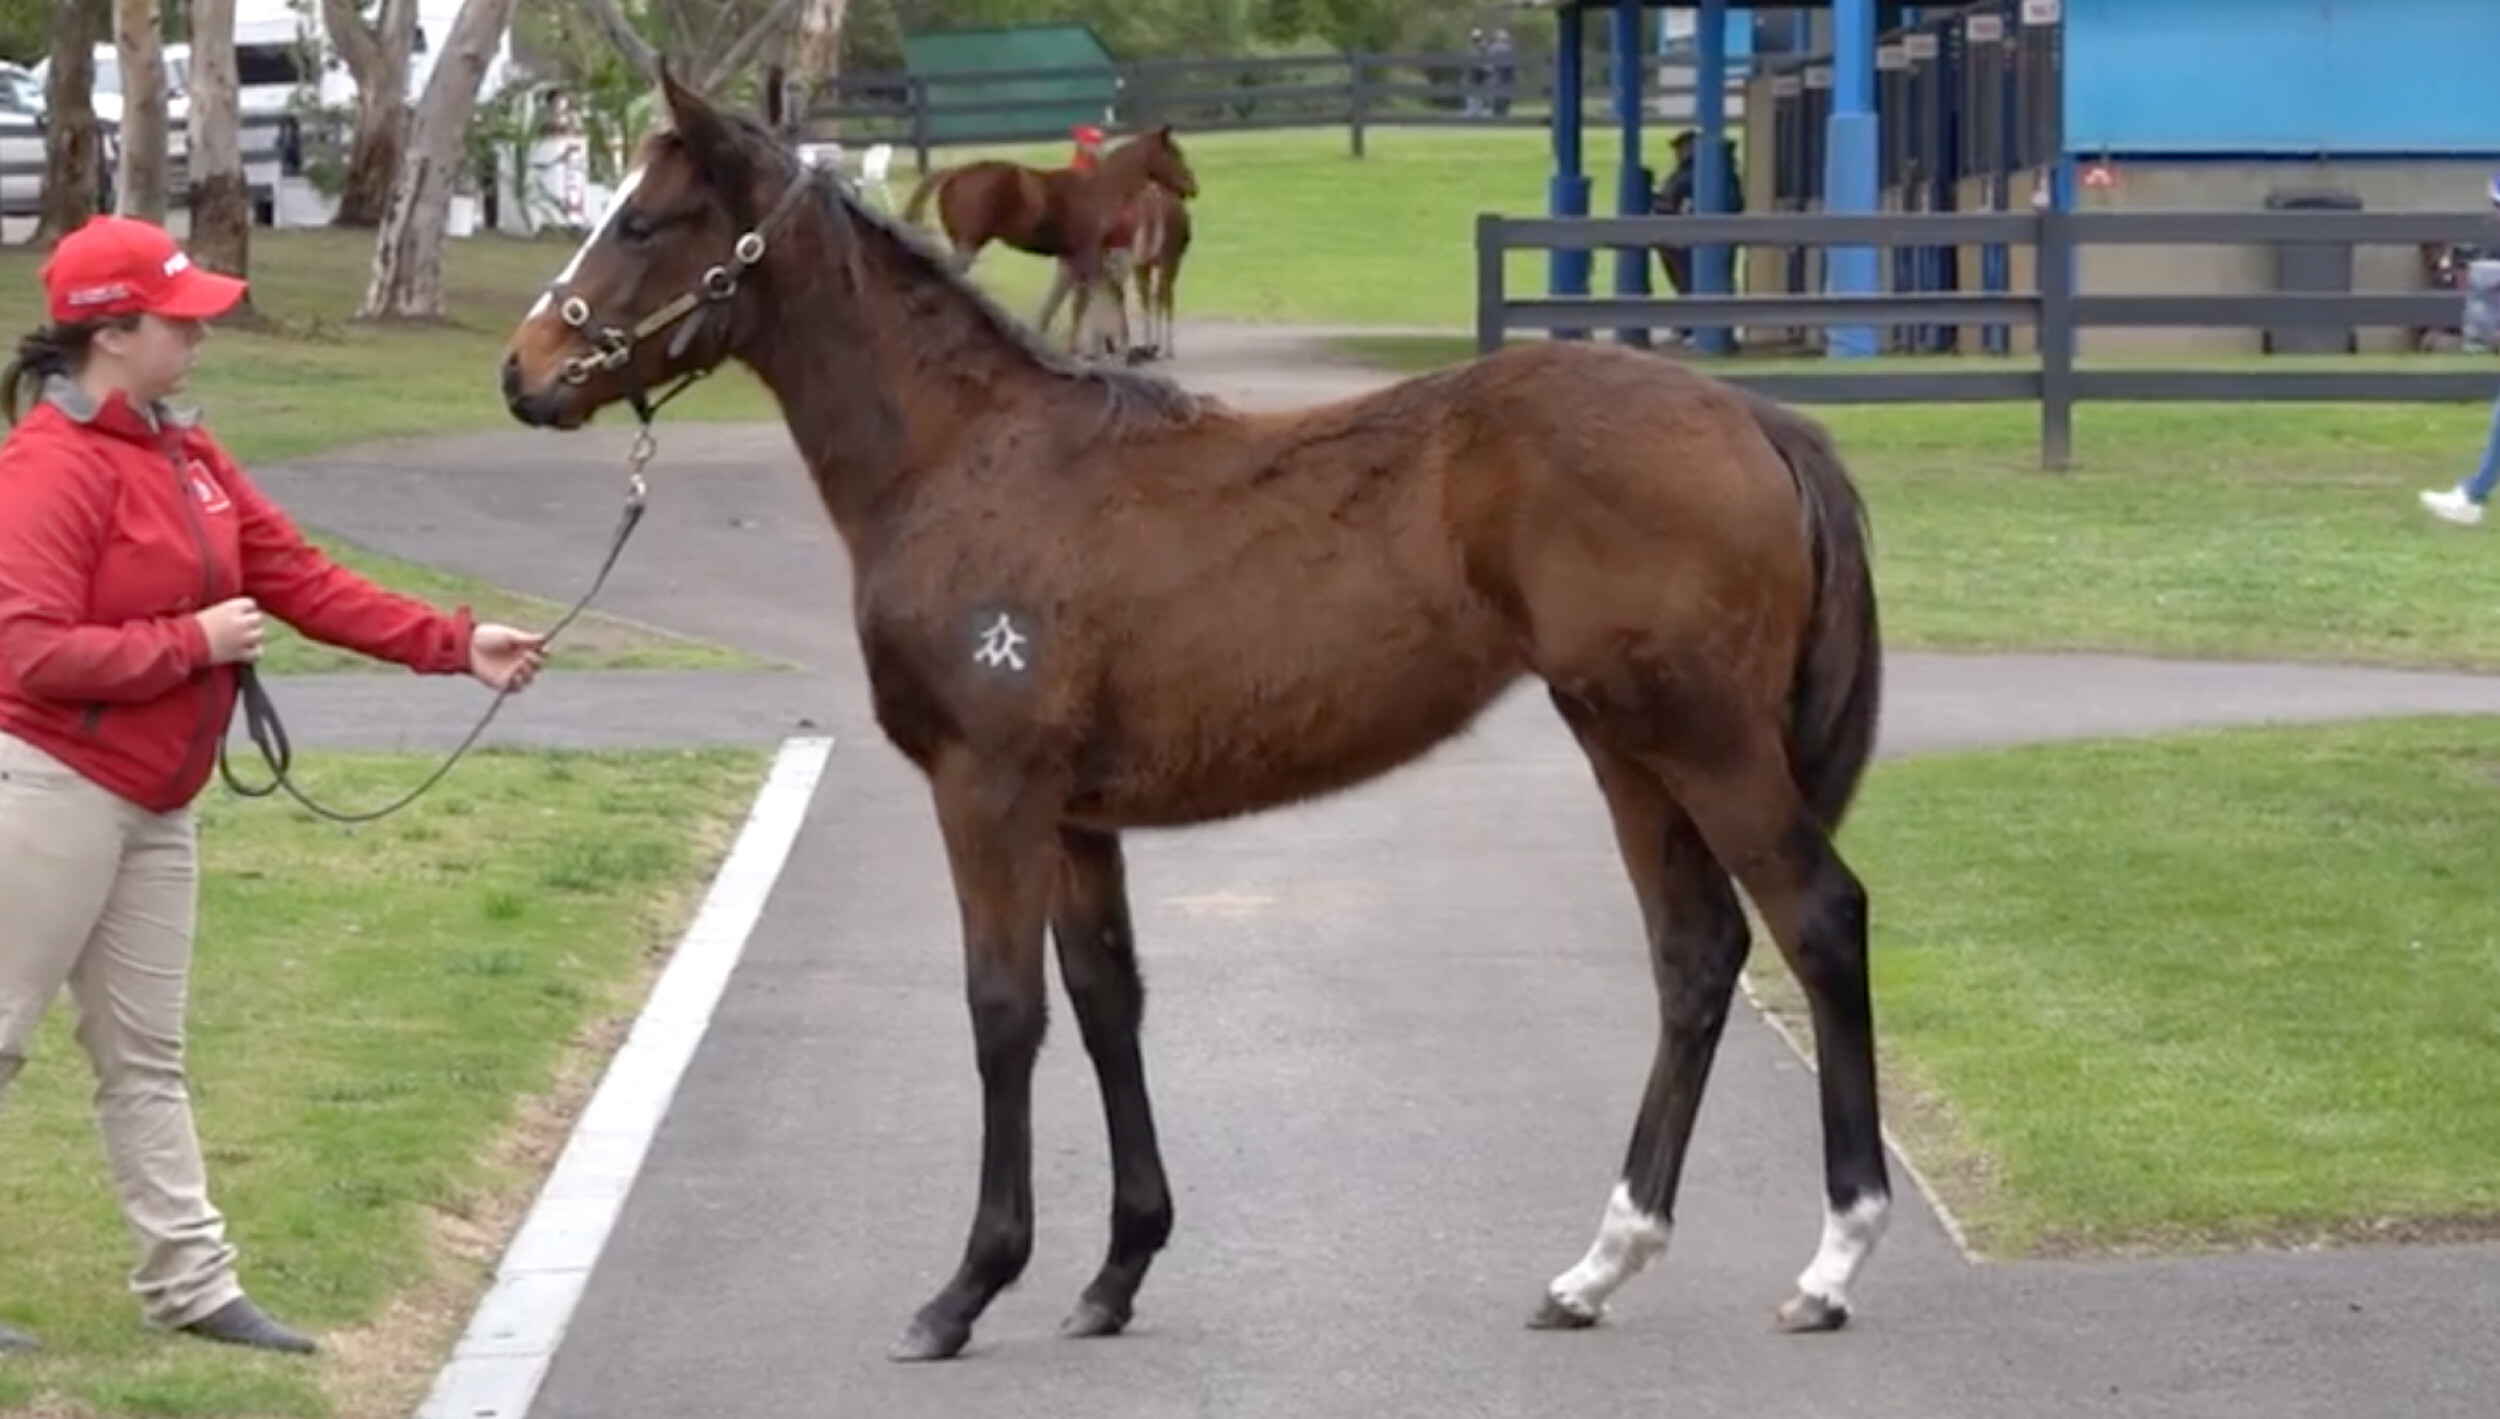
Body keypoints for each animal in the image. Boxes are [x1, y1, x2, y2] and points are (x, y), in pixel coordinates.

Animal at [500, 64, 1892, 1365]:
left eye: (644, 220)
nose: (524, 374)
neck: (966, 458)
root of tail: (1754, 416)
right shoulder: (1075, 818)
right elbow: (1106, 1002)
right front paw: (1116, 1271)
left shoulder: (987, 791)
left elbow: (1003, 1013)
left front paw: (965, 1290)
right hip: (1625, 744)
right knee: (1696, 955)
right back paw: (1598, 1266)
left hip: (1700, 742)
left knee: (1818, 918)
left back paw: (1833, 1264)